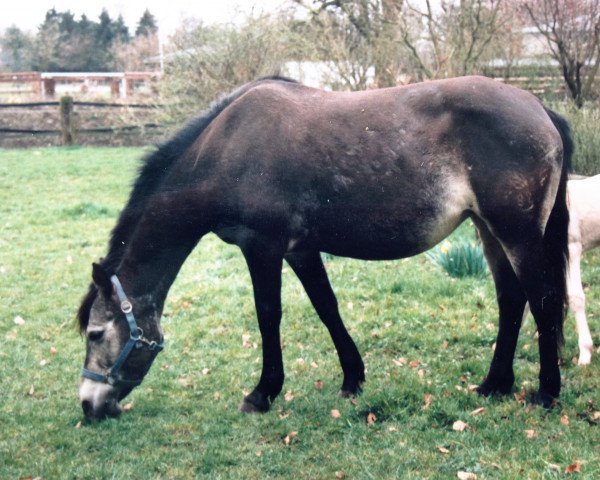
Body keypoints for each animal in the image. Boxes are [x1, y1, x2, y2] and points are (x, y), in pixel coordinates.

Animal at [76, 75, 572, 420]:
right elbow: (326, 306)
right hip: (489, 230)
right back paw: (495, 384)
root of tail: (539, 107)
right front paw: (353, 378)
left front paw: (263, 393)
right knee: (511, 300)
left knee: (543, 301)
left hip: (517, 234)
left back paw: (546, 392)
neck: (227, 149)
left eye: (95, 334)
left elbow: (268, 315)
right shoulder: (300, 250)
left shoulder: (263, 247)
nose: (89, 405)